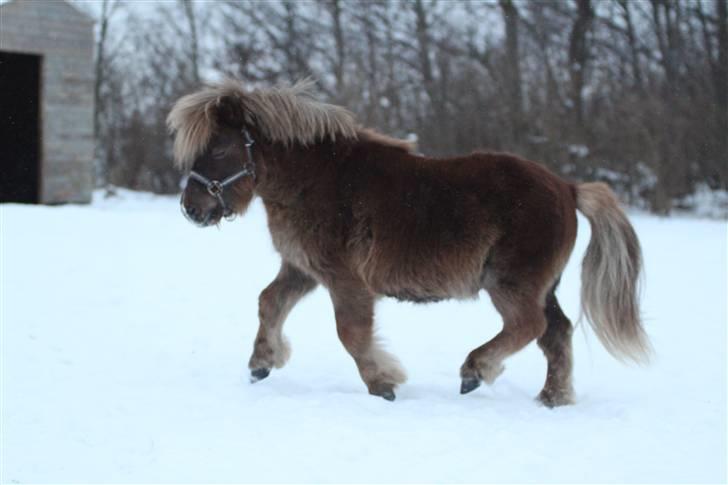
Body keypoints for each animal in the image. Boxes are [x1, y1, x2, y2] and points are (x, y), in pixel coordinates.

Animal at [166, 79, 648, 404]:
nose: (191, 208)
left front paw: (383, 383)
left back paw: (475, 371)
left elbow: (351, 332)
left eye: (220, 149)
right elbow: (269, 302)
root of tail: (567, 187)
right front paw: (261, 364)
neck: (316, 180)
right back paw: (552, 398)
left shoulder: (345, 279)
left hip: (513, 282)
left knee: (530, 325)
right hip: (541, 286)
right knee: (556, 333)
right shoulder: (303, 268)